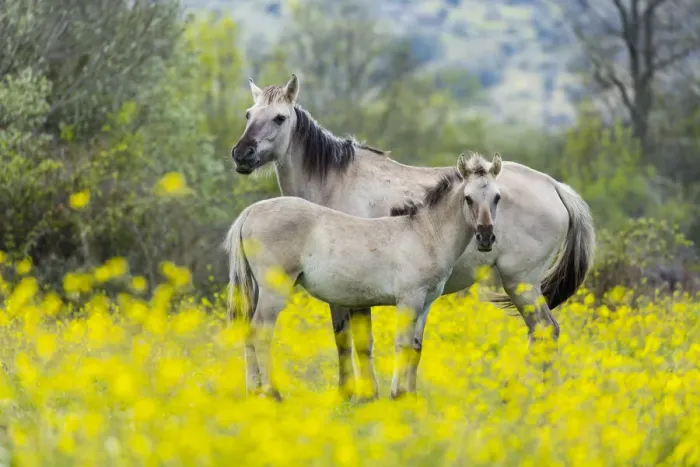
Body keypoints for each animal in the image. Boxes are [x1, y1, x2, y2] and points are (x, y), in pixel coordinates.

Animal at [224, 152, 503, 400]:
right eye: (468, 198)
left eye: (497, 197)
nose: (486, 237)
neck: (425, 233)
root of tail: (250, 212)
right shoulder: (409, 299)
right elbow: (401, 343)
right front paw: (397, 394)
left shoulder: (425, 303)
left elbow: (414, 346)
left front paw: (410, 395)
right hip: (274, 289)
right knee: (261, 332)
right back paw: (272, 393)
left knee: (249, 332)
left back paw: (254, 392)